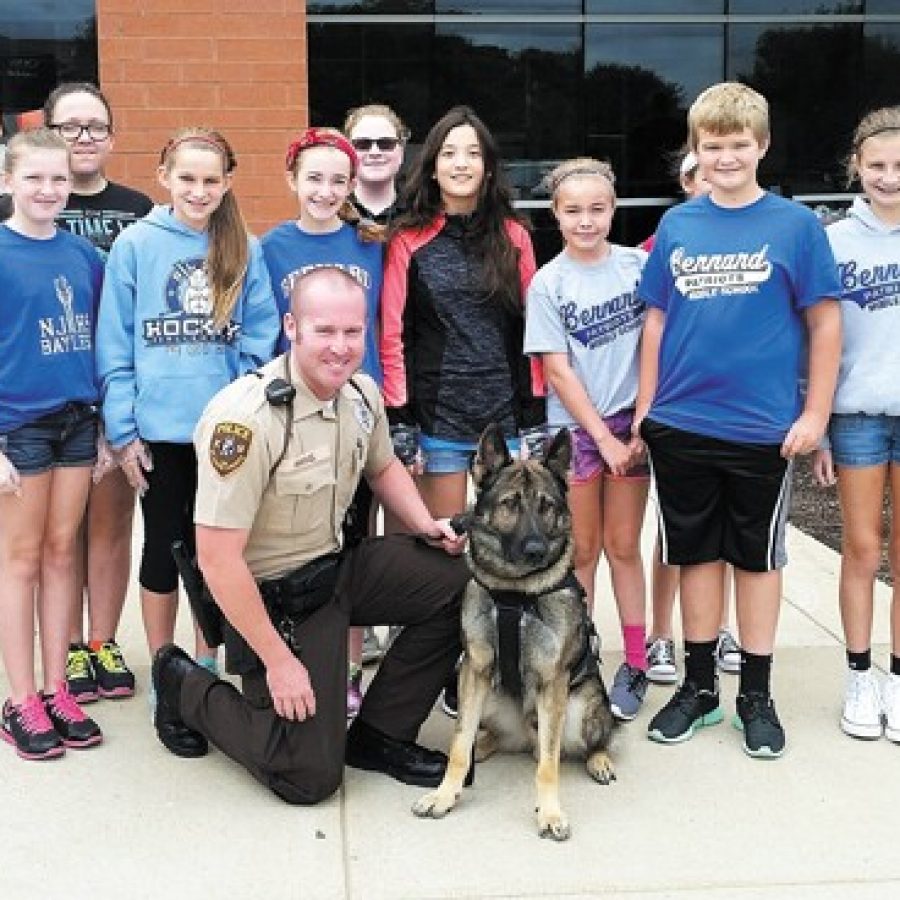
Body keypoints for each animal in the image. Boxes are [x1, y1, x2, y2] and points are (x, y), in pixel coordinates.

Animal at [412, 426, 616, 840]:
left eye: (546, 506)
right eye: (510, 504)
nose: (536, 549)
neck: (514, 593)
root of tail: (525, 736)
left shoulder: (553, 682)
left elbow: (549, 767)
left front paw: (550, 813)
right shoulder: (474, 669)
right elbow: (459, 746)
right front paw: (445, 794)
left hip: (583, 707)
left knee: (584, 743)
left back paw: (599, 760)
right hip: (482, 696)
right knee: (486, 737)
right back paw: (485, 746)